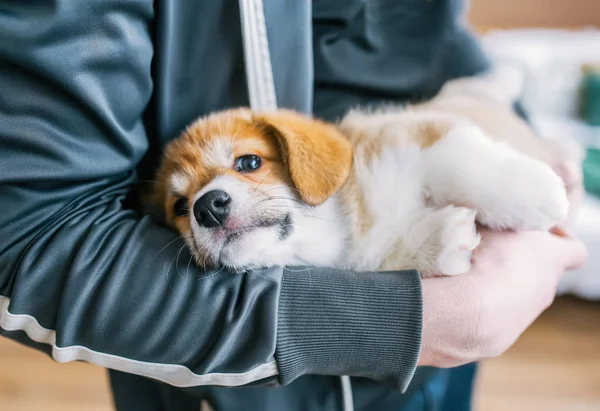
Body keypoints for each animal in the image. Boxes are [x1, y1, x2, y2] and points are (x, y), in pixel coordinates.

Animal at [154, 68, 568, 276]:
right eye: (180, 207)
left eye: (249, 162)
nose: (207, 208)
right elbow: (403, 250)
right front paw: (443, 243)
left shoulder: (420, 135)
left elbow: (464, 168)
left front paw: (539, 194)